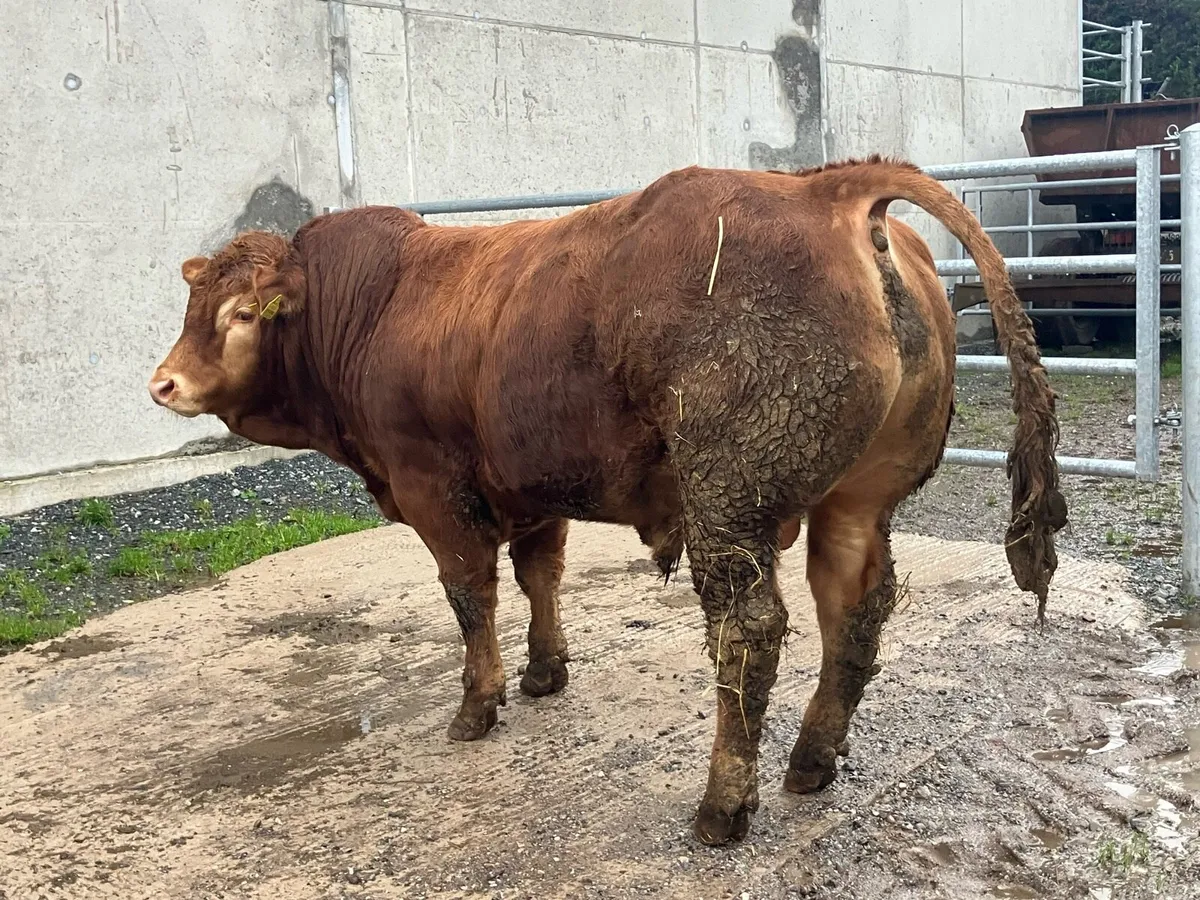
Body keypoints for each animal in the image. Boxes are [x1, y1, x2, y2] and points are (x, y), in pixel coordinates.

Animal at [149, 157, 1066, 845]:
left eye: (240, 313)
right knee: (854, 609)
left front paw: (477, 704)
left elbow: (470, 597)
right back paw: (810, 759)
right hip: (855, 502)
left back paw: (723, 806)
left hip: (728, 501)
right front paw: (544, 670)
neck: (372, 309)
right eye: (193, 304)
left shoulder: (433, 490)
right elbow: (539, 576)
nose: (164, 384)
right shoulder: (530, 486)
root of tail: (826, 188)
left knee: (749, 631)